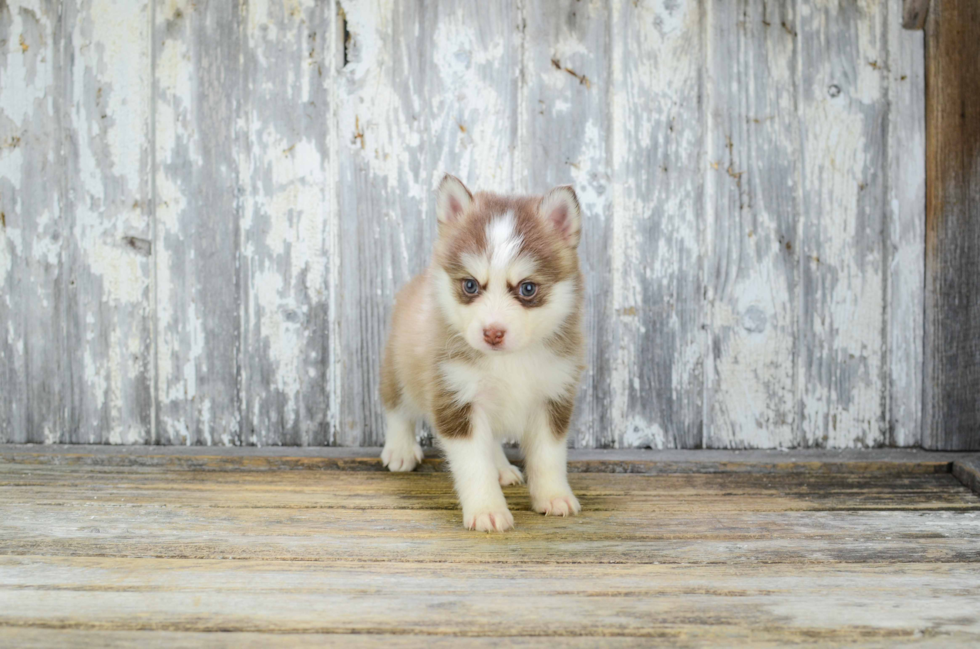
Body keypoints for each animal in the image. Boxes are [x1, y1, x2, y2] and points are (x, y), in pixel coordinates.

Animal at [380, 173, 580, 532]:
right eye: (470, 285)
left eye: (527, 288)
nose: (492, 333)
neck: (510, 361)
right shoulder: (455, 398)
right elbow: (474, 464)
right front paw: (487, 509)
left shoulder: (553, 396)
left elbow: (549, 456)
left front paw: (555, 496)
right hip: (398, 365)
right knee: (397, 407)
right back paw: (400, 448)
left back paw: (501, 467)